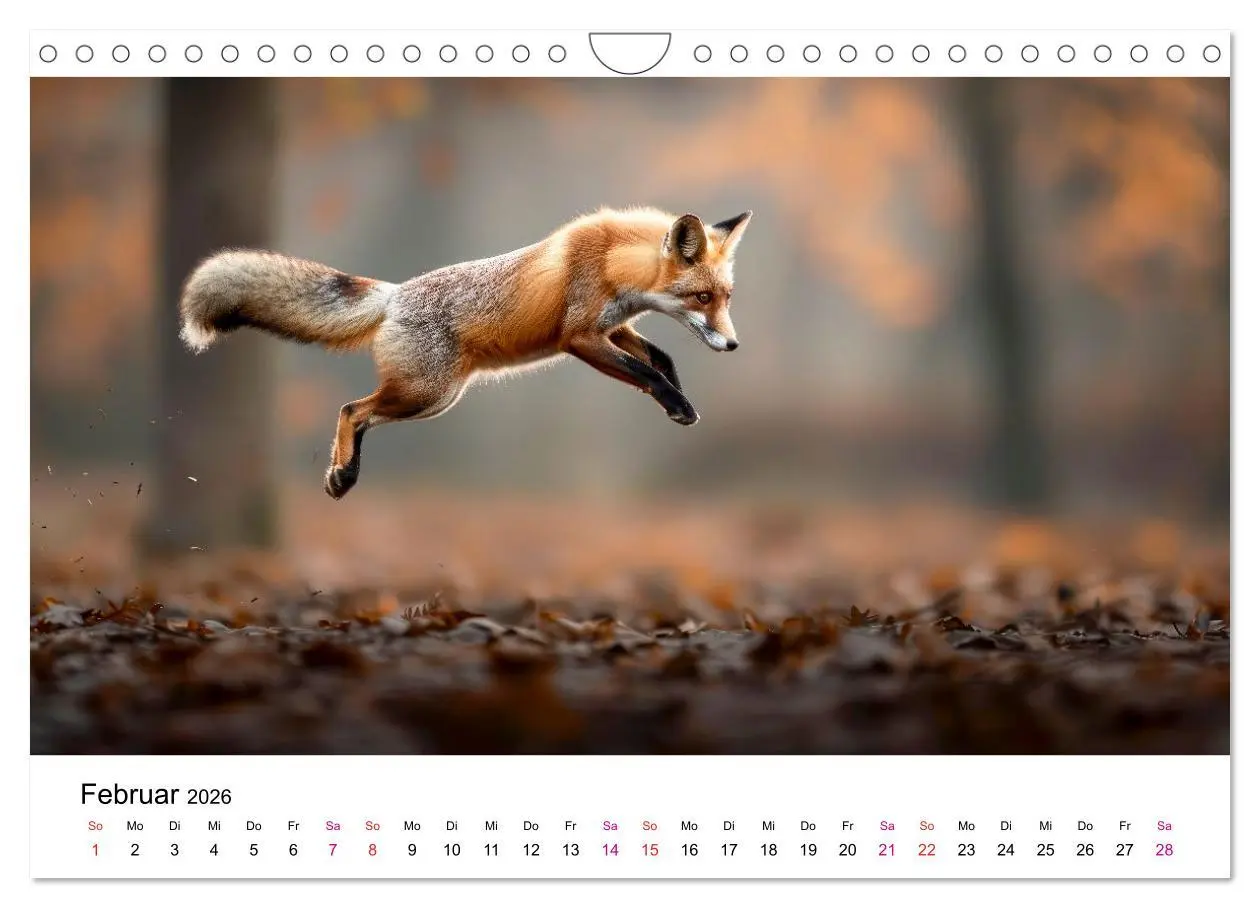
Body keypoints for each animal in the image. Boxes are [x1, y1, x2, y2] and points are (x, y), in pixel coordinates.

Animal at [179, 207, 752, 499]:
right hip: (425, 392)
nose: (733, 344)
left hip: (434, 399)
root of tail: (394, 295)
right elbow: (646, 372)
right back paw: (342, 474)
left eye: (725, 297)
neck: (615, 262)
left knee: (360, 415)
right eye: (703, 298)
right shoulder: (579, 338)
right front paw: (678, 405)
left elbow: (660, 360)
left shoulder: (614, 326)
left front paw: (678, 398)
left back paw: (342, 475)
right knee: (351, 409)